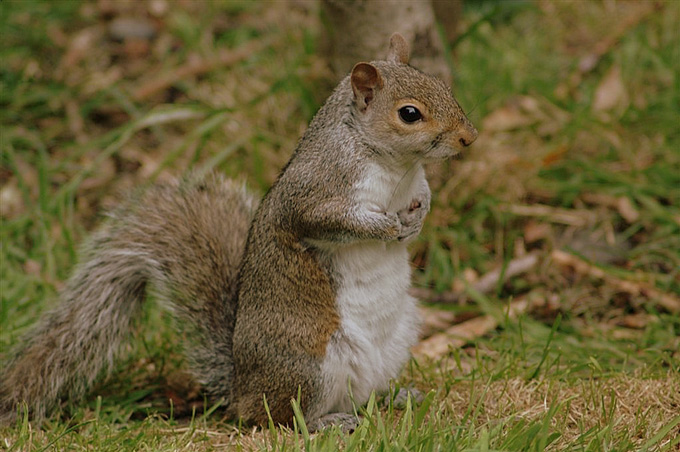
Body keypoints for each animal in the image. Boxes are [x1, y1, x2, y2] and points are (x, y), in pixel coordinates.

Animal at [1, 32, 478, 430]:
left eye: (443, 85)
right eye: (409, 114)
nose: (468, 137)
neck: (395, 166)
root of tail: (241, 390)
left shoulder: (415, 181)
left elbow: (425, 195)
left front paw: (418, 217)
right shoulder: (313, 191)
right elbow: (326, 221)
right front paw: (384, 225)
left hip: (396, 340)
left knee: (361, 397)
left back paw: (395, 396)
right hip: (306, 363)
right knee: (277, 417)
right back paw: (325, 422)